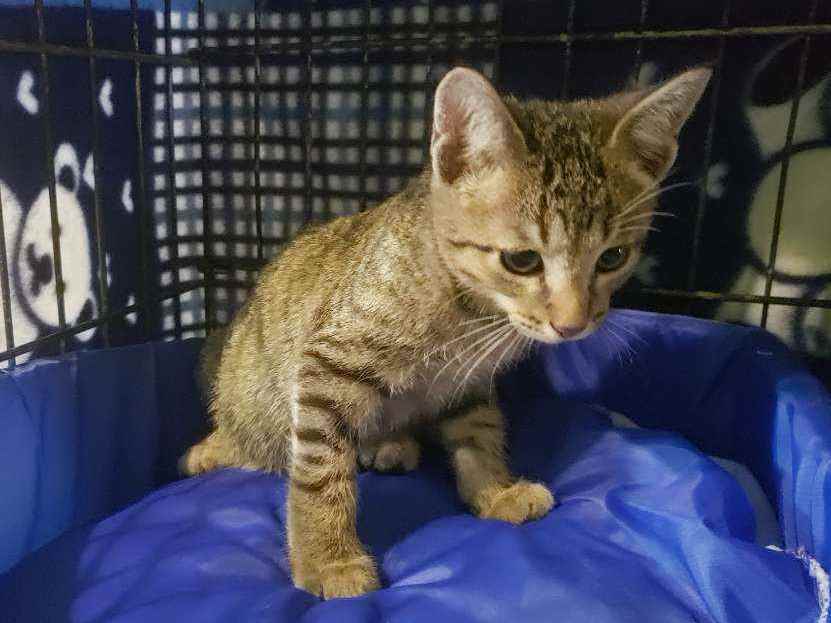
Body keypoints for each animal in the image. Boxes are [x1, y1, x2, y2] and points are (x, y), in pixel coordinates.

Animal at [182, 65, 711, 599]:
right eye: (522, 260)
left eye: (612, 258)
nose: (572, 325)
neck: (471, 310)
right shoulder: (328, 362)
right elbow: (319, 469)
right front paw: (326, 559)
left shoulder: (468, 380)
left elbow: (479, 433)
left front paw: (495, 492)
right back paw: (215, 449)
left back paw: (388, 444)